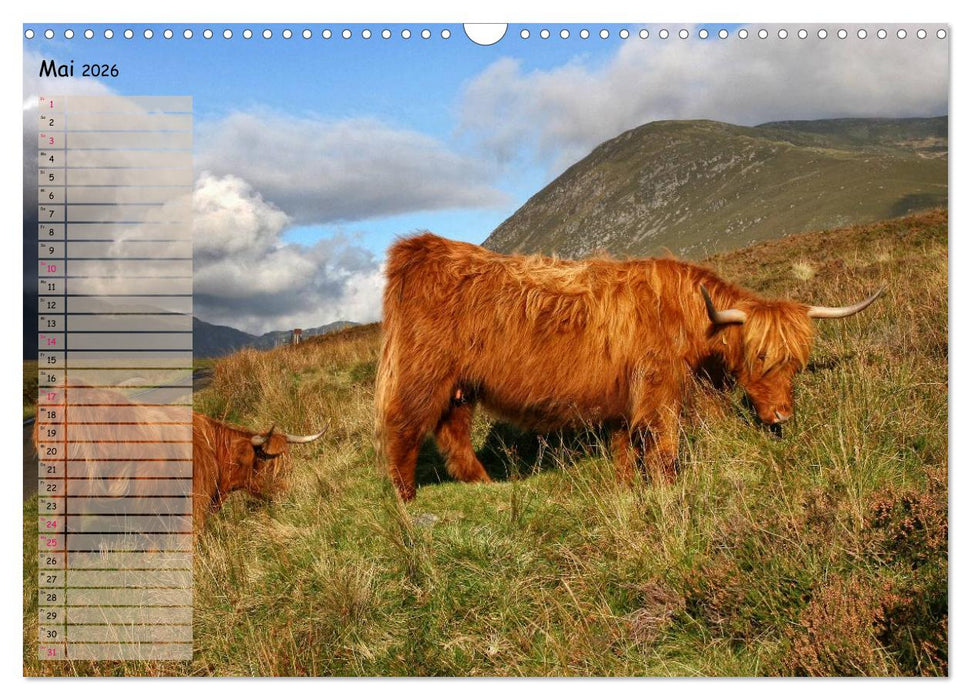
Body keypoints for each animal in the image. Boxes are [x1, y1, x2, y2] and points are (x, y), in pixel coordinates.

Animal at [374, 232, 882, 500]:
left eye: (796, 363)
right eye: (760, 357)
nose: (781, 416)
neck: (687, 316)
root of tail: (422, 248)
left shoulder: (625, 397)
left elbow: (625, 446)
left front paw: (625, 486)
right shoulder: (659, 388)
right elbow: (664, 445)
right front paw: (668, 489)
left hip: (460, 384)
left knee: (452, 431)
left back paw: (487, 486)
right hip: (422, 373)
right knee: (403, 427)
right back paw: (407, 500)